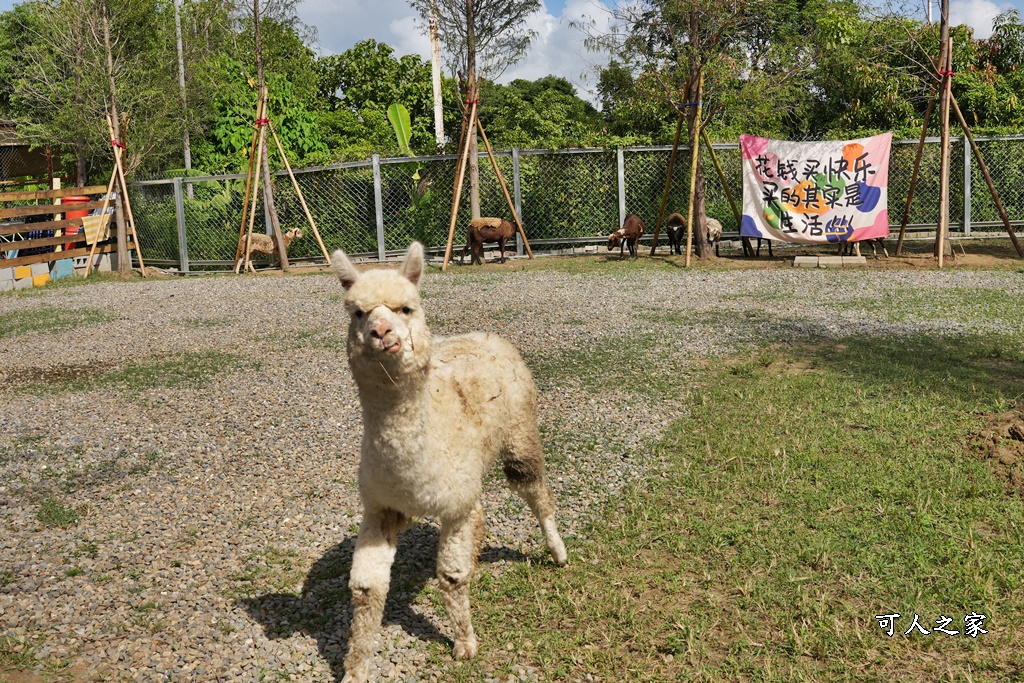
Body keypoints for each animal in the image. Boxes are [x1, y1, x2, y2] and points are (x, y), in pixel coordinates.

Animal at [329, 242, 565, 679]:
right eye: (358, 313)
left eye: (406, 308)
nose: (382, 332)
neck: (416, 476)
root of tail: (486, 333)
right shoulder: (379, 507)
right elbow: (366, 589)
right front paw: (355, 669)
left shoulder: (455, 507)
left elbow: (452, 577)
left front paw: (465, 644)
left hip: (520, 429)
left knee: (535, 489)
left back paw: (558, 553)